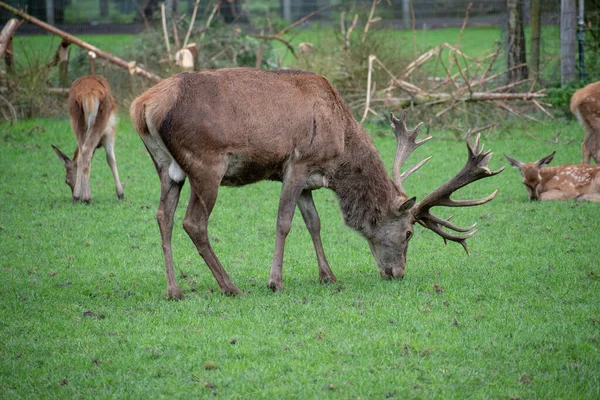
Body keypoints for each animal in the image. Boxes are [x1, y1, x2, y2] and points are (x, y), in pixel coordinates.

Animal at [52, 74, 125, 203]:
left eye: (66, 181)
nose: (72, 191)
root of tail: (88, 95)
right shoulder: (110, 131)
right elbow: (111, 158)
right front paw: (121, 193)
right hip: (100, 120)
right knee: (87, 150)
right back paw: (86, 197)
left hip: (77, 120)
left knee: (83, 153)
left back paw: (78, 196)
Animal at [130, 69, 502, 300]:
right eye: (410, 233)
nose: (397, 273)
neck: (340, 147)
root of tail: (142, 105)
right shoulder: (298, 162)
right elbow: (284, 222)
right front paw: (275, 281)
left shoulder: (307, 179)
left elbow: (314, 222)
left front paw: (328, 275)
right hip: (206, 164)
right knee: (193, 223)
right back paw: (230, 287)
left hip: (166, 167)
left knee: (162, 216)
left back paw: (174, 291)